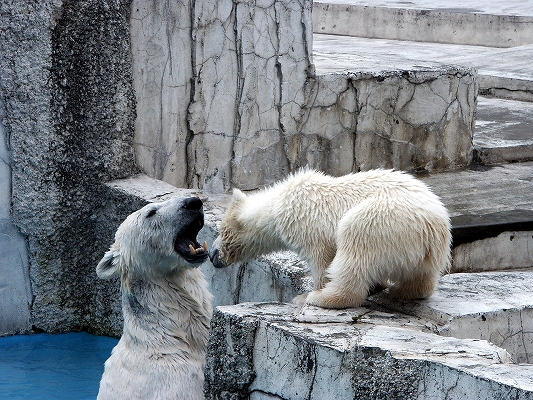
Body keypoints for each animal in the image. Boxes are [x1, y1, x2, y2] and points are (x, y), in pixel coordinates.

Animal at [210, 169, 450, 310]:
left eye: (221, 231)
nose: (212, 255)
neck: (278, 204)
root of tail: (434, 227)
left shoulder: (307, 225)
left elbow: (321, 260)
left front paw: (307, 294)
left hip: (383, 220)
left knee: (355, 245)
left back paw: (323, 299)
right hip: (421, 252)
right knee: (421, 277)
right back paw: (401, 291)